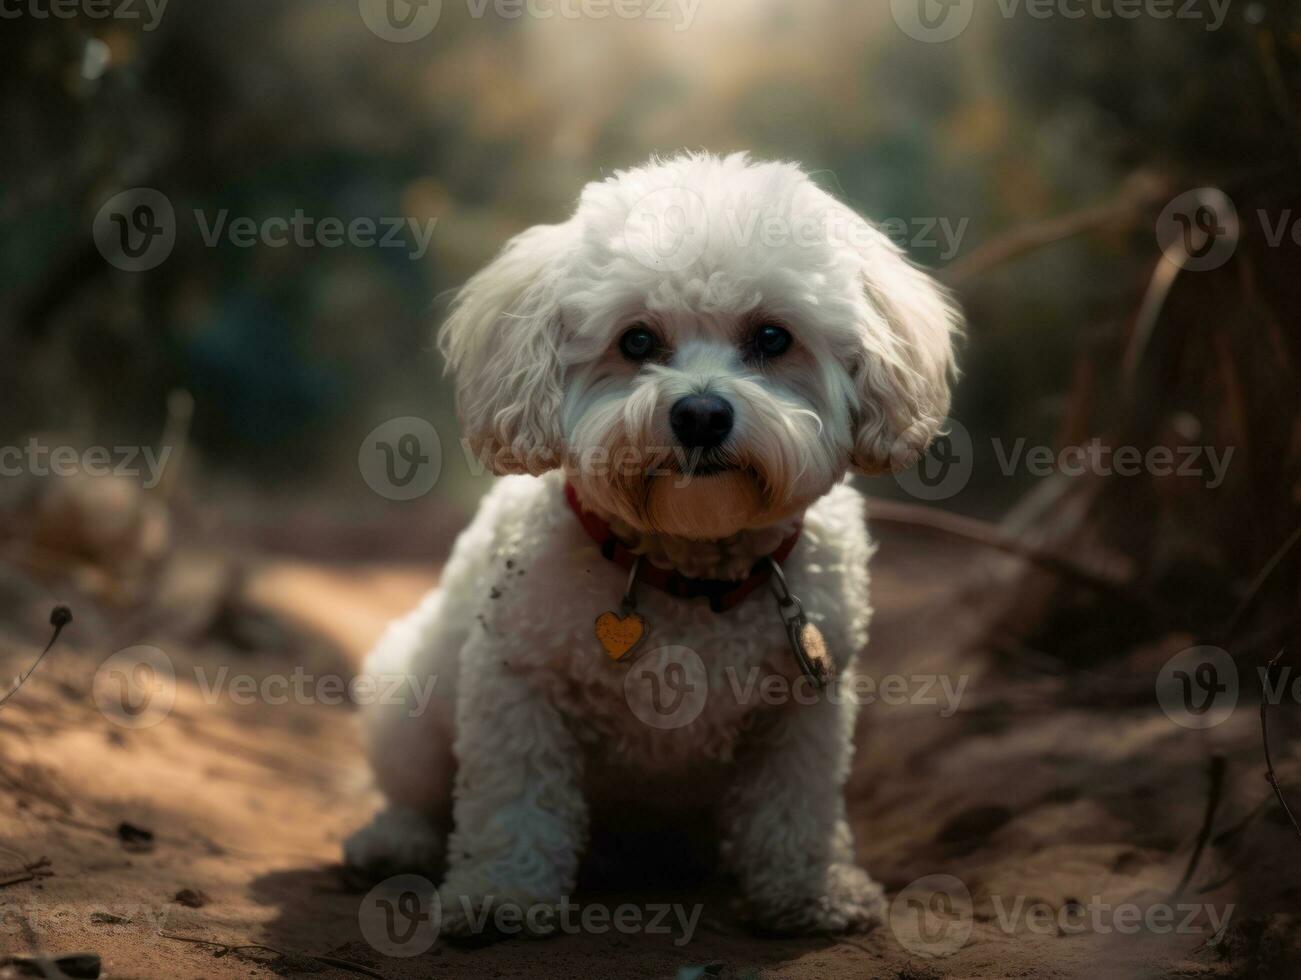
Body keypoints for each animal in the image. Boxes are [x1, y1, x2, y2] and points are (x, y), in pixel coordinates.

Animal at [340, 150, 962, 931]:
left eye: (772, 338)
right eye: (636, 340)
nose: (699, 414)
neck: (690, 569)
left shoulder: (804, 708)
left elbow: (795, 806)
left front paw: (811, 889)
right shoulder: (516, 685)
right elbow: (514, 802)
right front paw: (500, 894)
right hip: (412, 704)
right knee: (416, 792)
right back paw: (394, 842)